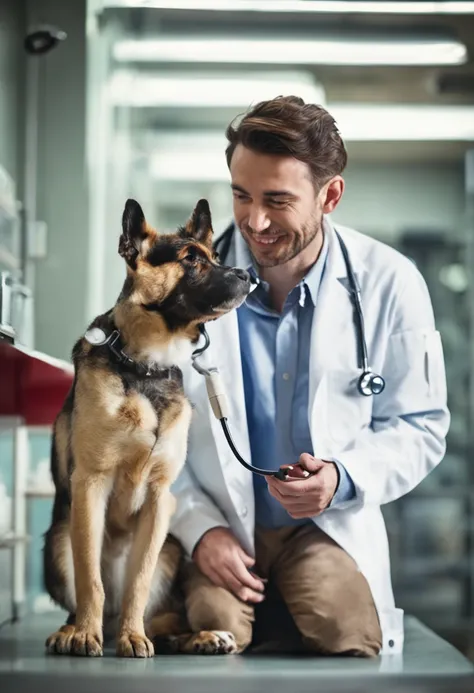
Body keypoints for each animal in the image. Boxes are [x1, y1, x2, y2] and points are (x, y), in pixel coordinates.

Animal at [43, 197, 252, 656]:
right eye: (190, 259)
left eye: (216, 257)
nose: (248, 276)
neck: (146, 366)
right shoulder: (91, 486)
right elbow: (90, 578)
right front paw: (84, 634)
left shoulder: (159, 500)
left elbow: (138, 583)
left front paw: (133, 637)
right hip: (59, 539)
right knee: (89, 593)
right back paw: (75, 629)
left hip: (170, 548)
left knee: (157, 618)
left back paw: (199, 635)